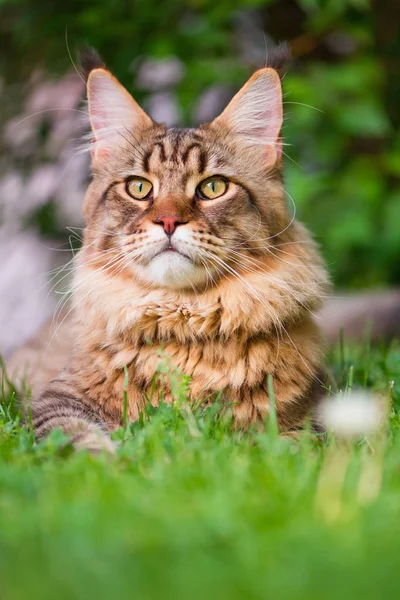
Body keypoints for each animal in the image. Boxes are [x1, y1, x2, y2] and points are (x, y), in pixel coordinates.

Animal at [18, 44, 330, 452]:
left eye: (213, 187)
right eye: (139, 187)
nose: (168, 222)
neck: (182, 317)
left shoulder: (312, 411)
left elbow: (290, 446)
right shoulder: (54, 402)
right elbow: (79, 439)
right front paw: (114, 459)